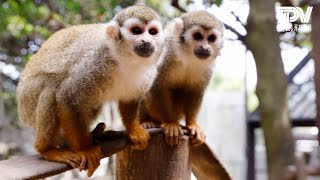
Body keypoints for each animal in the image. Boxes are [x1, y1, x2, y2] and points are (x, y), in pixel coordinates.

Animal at [15, 5, 164, 177]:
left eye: (152, 32)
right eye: (137, 31)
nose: (147, 40)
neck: (126, 59)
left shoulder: (149, 72)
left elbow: (129, 100)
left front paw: (134, 130)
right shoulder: (96, 62)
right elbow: (67, 96)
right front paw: (85, 149)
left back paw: (93, 136)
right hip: (29, 101)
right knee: (52, 89)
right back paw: (48, 149)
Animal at [139, 10, 224, 146]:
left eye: (211, 38)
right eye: (198, 36)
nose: (205, 48)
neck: (187, 54)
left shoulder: (209, 67)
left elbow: (196, 90)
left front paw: (192, 124)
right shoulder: (166, 53)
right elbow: (156, 86)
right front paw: (170, 123)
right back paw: (147, 121)